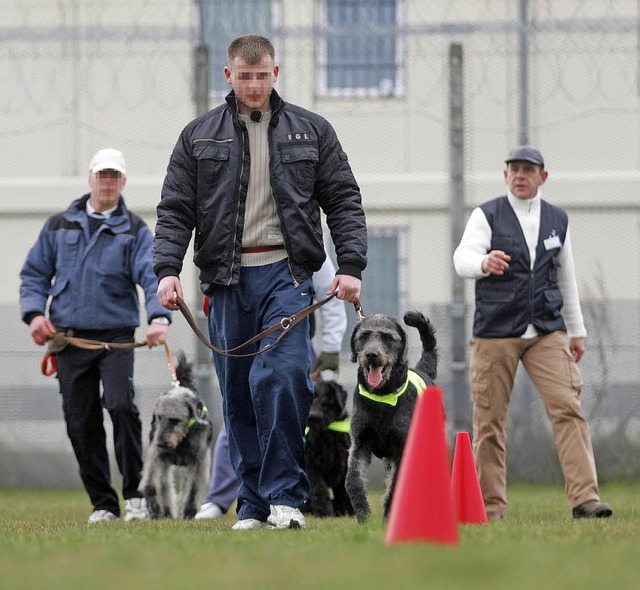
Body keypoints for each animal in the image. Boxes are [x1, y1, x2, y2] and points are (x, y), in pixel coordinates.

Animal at [138, 354, 212, 520]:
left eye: (175, 420)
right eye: (159, 417)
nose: (160, 443)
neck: (181, 441)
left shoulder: (198, 462)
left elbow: (192, 491)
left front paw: (188, 513)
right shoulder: (157, 458)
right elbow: (150, 484)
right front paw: (154, 509)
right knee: (165, 487)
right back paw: (166, 513)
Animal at [304, 382, 356, 520]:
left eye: (326, 397)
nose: (313, 417)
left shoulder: (343, 467)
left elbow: (345, 491)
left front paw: (350, 512)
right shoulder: (312, 468)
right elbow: (319, 490)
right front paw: (324, 513)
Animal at [344, 312, 440, 524]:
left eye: (388, 337)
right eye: (364, 336)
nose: (372, 355)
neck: (382, 396)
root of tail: (424, 371)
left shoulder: (401, 449)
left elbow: (396, 485)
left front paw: (390, 515)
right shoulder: (360, 444)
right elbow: (353, 479)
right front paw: (363, 513)